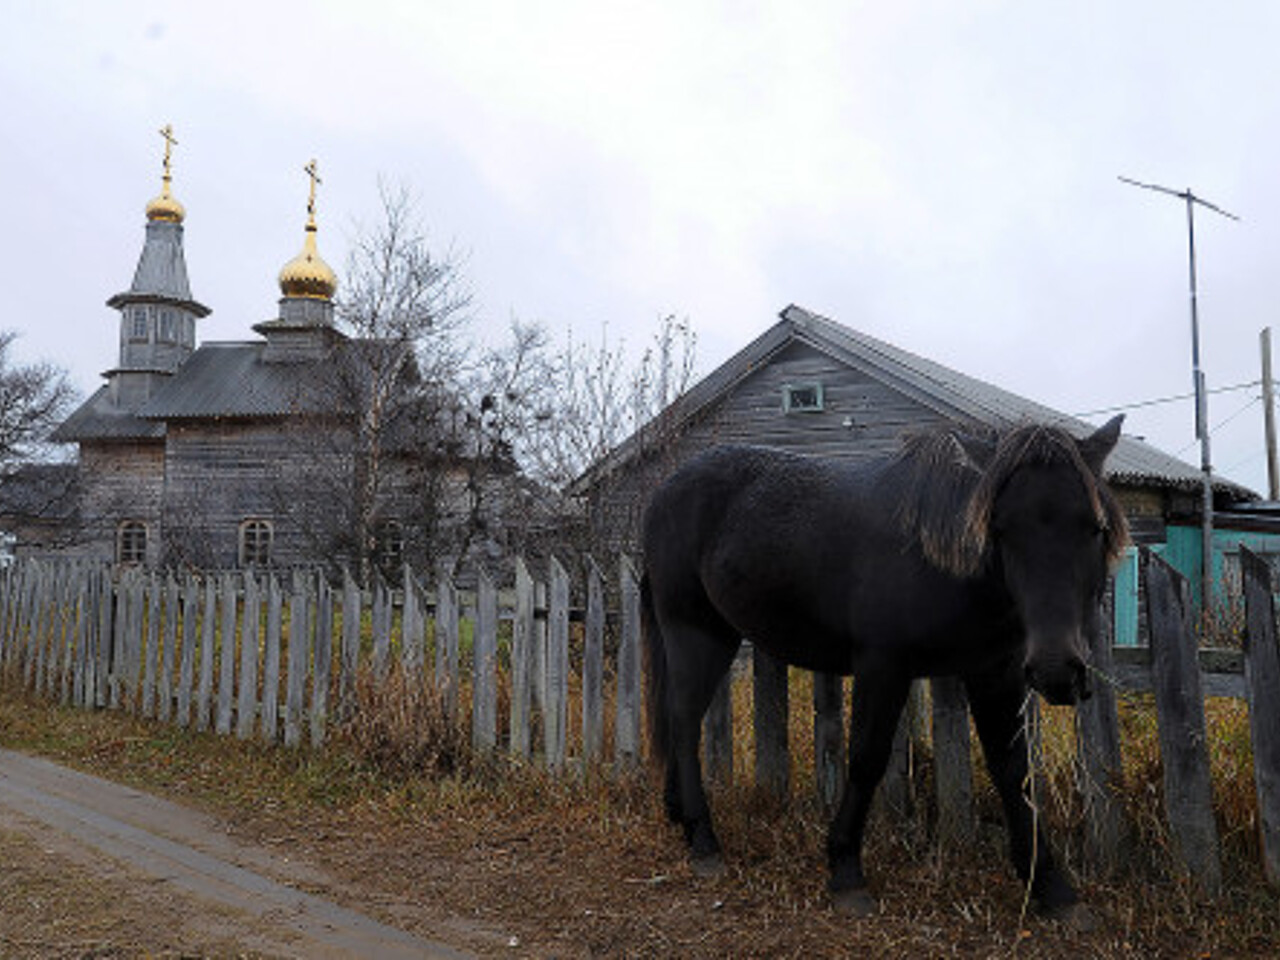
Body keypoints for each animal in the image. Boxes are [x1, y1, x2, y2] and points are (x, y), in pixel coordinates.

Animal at [645, 417, 1126, 921]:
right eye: (1000, 529)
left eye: (1094, 528)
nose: (1056, 669)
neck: (935, 557)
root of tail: (662, 496)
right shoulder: (882, 666)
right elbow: (866, 759)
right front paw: (845, 870)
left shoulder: (995, 671)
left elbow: (1013, 768)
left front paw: (1052, 886)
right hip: (695, 634)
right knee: (684, 723)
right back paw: (703, 839)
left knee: (681, 721)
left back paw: (679, 814)